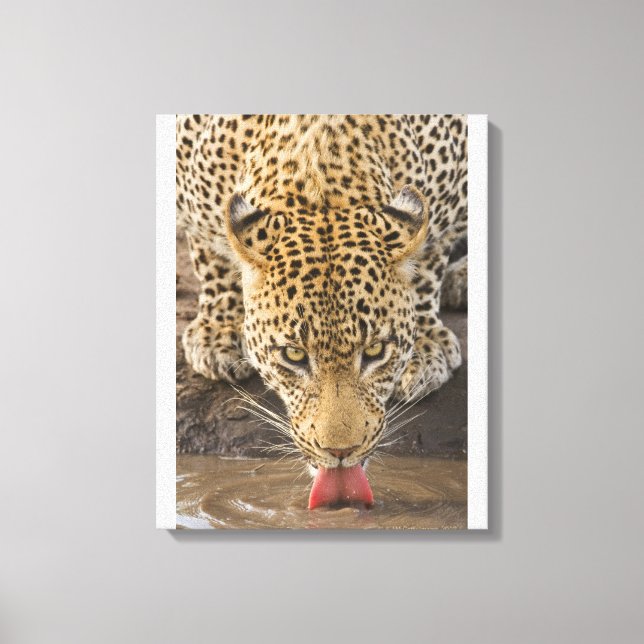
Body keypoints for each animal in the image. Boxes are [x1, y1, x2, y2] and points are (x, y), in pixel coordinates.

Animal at [176, 114, 467, 475]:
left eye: (375, 351)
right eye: (294, 355)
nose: (341, 452)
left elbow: (429, 261)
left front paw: (424, 348)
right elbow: (210, 257)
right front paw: (217, 332)